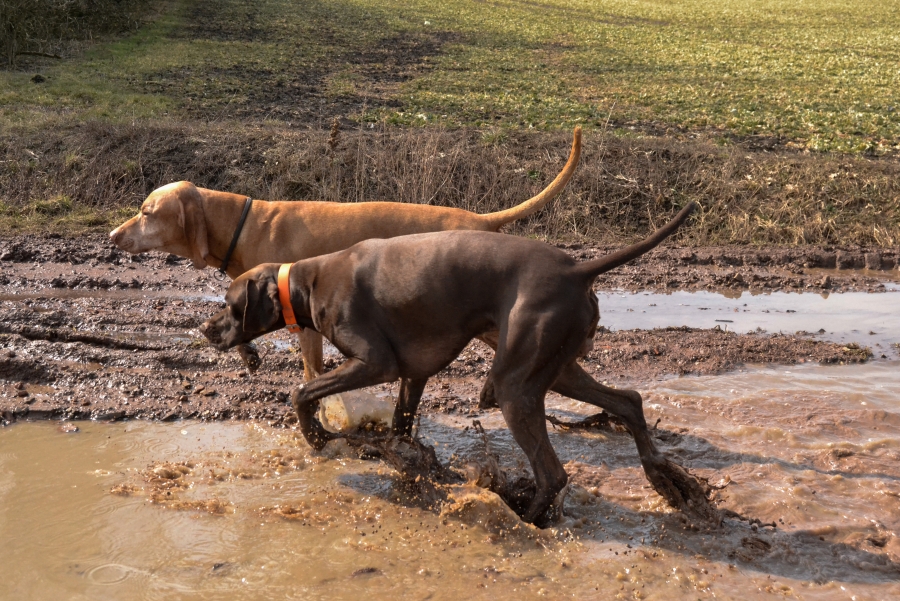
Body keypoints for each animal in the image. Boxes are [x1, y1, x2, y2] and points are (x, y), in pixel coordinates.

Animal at [110, 129, 581, 381]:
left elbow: (311, 370)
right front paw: (247, 355)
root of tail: (481, 220)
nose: (112, 235)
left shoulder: (303, 320)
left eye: (146, 212)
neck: (244, 222)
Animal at [199, 202, 711, 526]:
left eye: (227, 303)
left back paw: (525, 518)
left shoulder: (377, 362)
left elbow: (301, 391)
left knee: (554, 472)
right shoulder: (413, 374)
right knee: (629, 401)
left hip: (514, 387)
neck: (307, 280)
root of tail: (575, 269)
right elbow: (401, 425)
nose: (204, 329)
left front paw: (317, 436)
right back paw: (664, 478)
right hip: (558, 368)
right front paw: (404, 462)